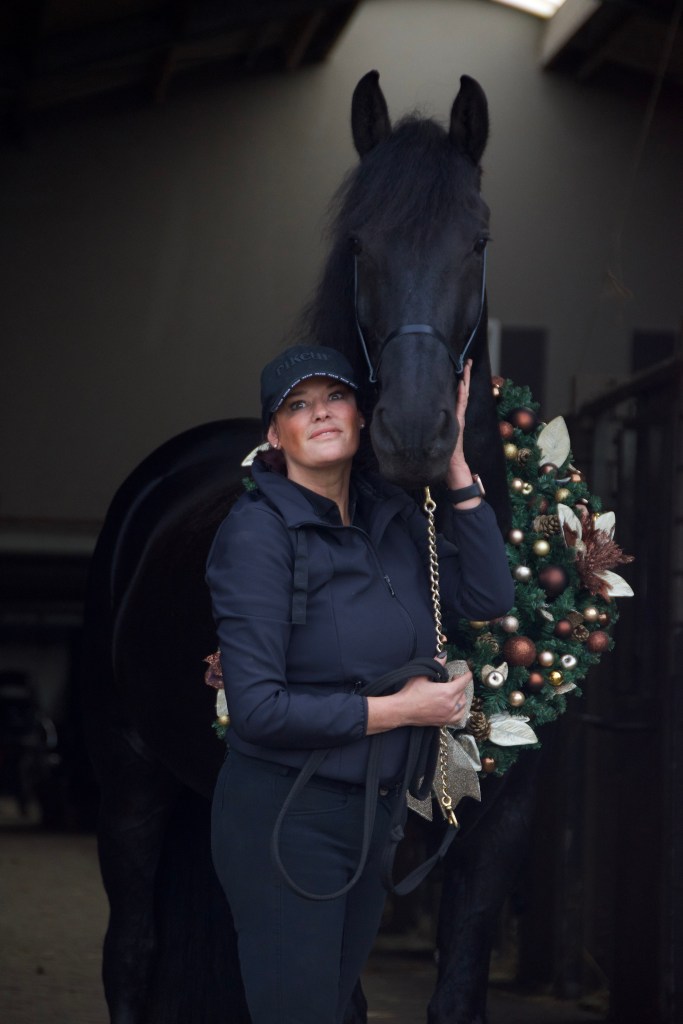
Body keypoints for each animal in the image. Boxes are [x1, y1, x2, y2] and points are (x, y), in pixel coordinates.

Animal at [81, 71, 533, 1024]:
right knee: (130, 954)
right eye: (359, 242)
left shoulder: (500, 828)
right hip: (129, 777)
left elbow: (460, 988)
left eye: (476, 239)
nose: (411, 432)